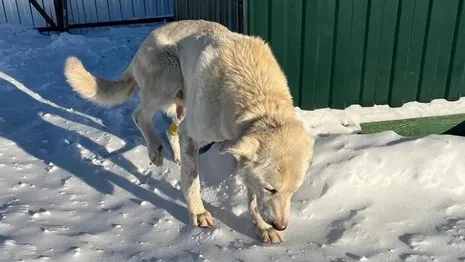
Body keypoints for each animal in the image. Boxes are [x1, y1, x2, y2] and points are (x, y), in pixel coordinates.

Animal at [63, 20, 314, 244]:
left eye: (294, 191)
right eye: (271, 189)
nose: (281, 225)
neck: (258, 103)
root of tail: (144, 43)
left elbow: (252, 198)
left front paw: (262, 227)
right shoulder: (194, 136)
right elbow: (192, 181)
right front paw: (198, 213)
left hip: (182, 103)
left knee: (170, 128)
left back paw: (174, 154)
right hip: (169, 77)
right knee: (140, 115)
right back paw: (155, 148)